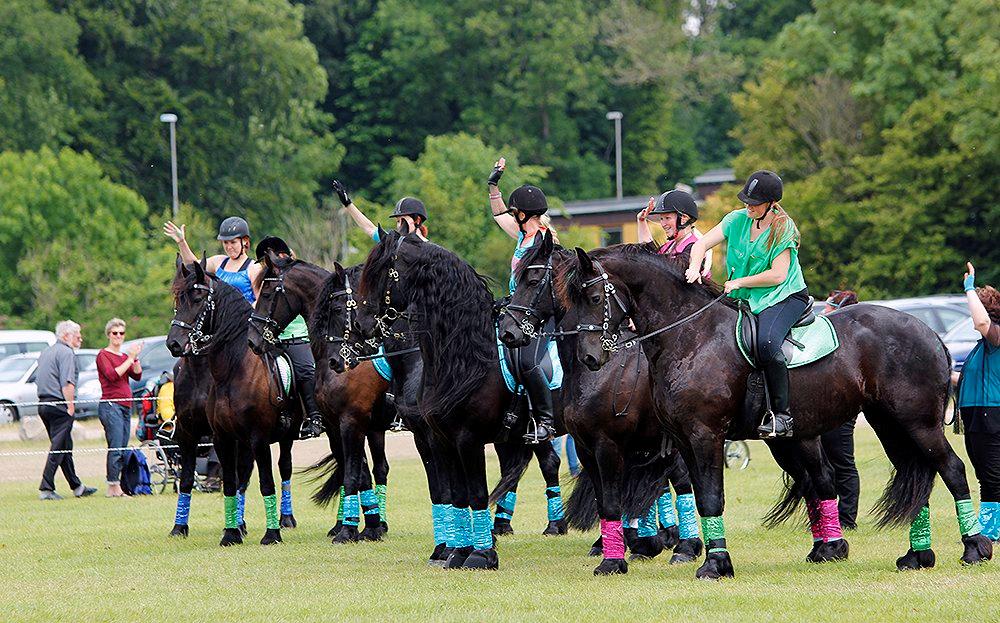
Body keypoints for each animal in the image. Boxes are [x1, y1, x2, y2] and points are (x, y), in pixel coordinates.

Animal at [500, 232, 704, 576]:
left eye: (533, 280)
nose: (507, 332)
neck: (595, 373)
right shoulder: (585, 447)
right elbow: (604, 501)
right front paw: (618, 549)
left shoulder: (608, 445)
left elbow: (613, 499)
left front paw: (616, 558)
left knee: (681, 482)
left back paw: (684, 547)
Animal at [560, 245, 988, 580]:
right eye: (571, 302)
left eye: (593, 299)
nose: (590, 358)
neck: (691, 336)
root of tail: (929, 332)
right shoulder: (682, 441)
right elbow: (693, 497)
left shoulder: (703, 436)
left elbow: (709, 498)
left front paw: (715, 565)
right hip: (890, 426)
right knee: (916, 477)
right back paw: (917, 555)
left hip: (918, 423)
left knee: (951, 470)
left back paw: (973, 547)